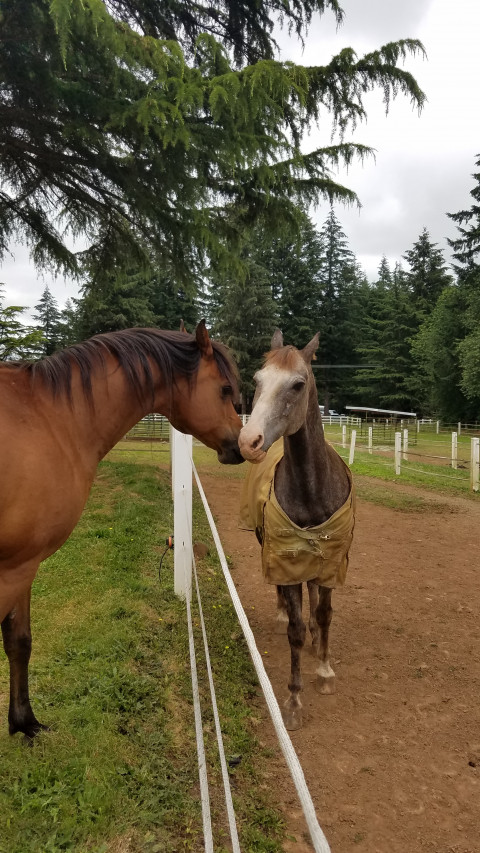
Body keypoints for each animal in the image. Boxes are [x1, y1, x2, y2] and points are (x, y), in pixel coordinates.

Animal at [0, 320, 240, 740]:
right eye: (225, 389)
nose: (245, 444)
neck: (52, 419)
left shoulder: (23, 564)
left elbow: (19, 641)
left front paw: (24, 722)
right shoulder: (11, 569)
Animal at [238, 330, 354, 728]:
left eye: (298, 384)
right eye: (257, 379)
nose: (249, 441)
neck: (312, 490)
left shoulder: (332, 561)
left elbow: (324, 614)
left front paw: (325, 671)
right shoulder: (286, 561)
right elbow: (295, 630)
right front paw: (293, 700)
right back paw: (281, 614)